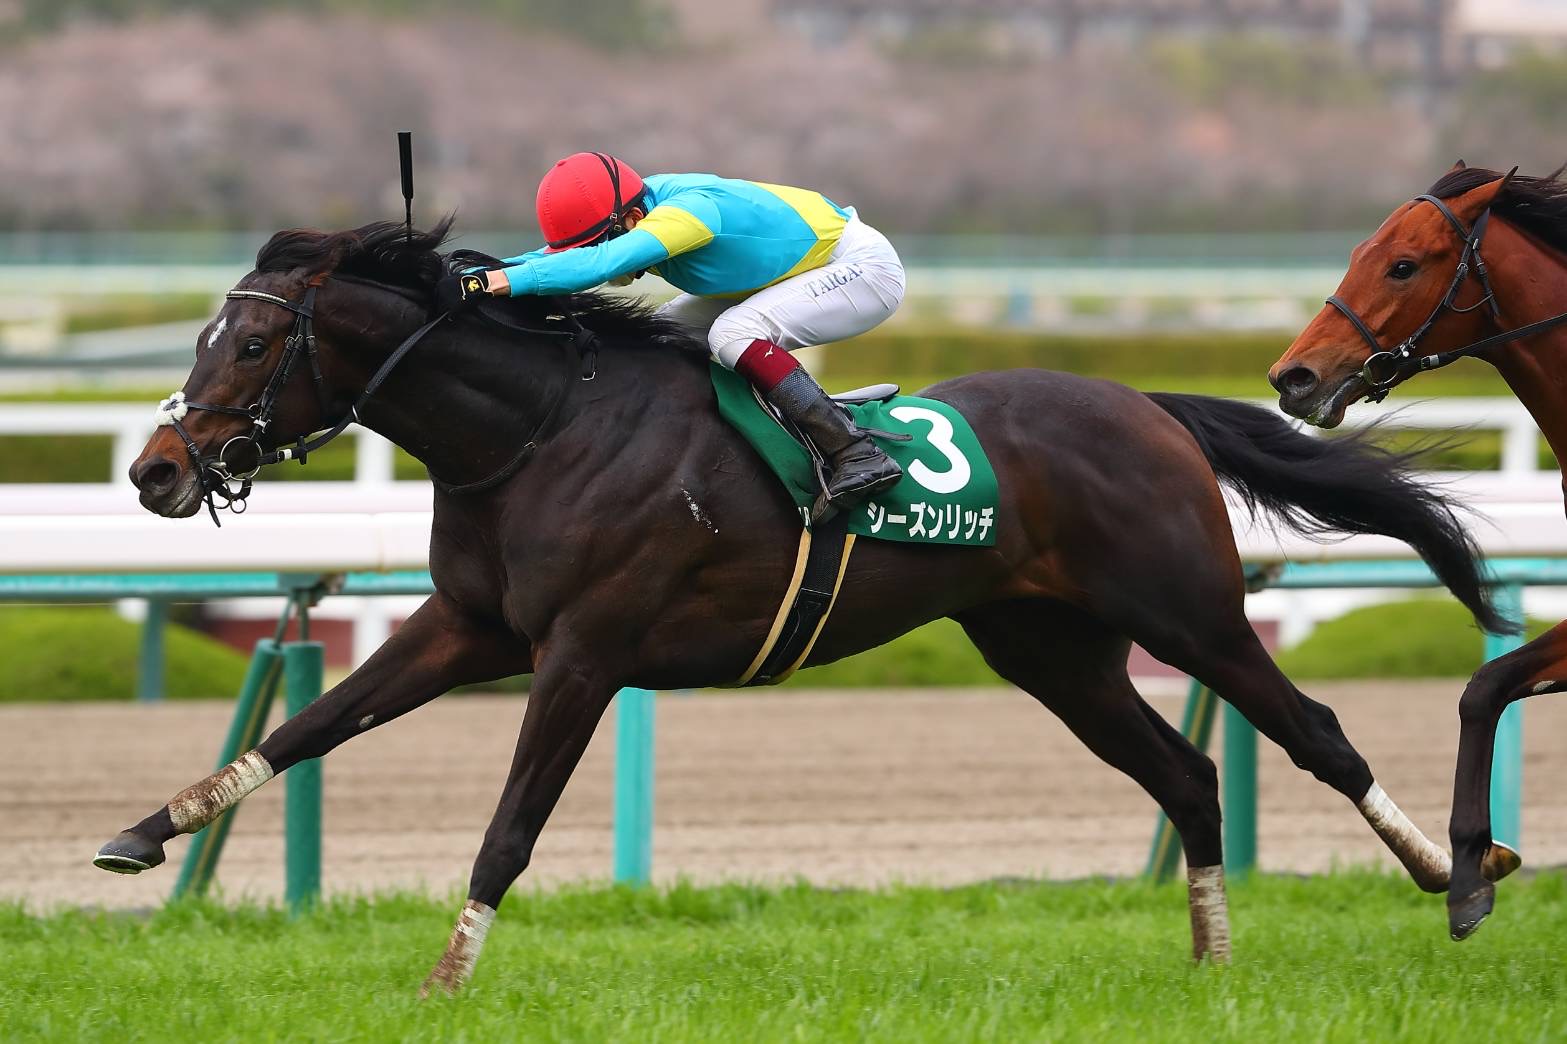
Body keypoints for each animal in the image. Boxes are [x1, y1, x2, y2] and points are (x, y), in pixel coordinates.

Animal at [95, 218, 1507, 995]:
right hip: (1054, 652)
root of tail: (1144, 403)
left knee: (1314, 733)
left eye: (254, 345)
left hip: (1189, 614)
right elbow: (301, 730)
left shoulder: (581, 654)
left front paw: (448, 977)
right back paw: (1211, 963)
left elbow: (508, 830)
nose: (156, 471)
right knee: (1187, 774)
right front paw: (144, 834)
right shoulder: (467, 629)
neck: (540, 428)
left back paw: (1458, 870)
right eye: (205, 339)